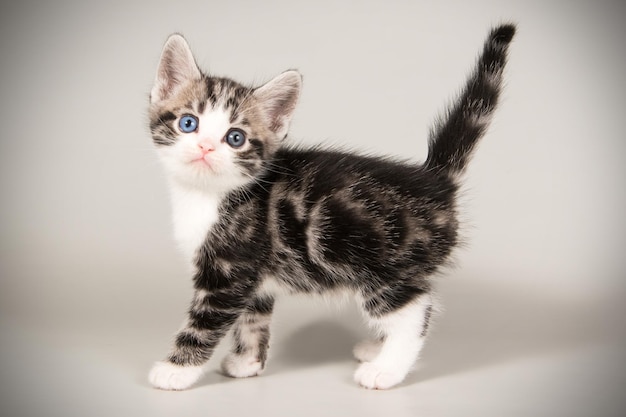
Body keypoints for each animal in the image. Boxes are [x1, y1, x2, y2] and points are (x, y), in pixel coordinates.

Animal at [149, 23, 516, 390]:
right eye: (188, 123)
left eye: (235, 138)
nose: (206, 147)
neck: (206, 194)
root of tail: (434, 181)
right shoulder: (255, 276)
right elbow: (253, 318)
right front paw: (247, 362)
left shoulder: (229, 271)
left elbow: (203, 324)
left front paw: (176, 370)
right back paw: (376, 349)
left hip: (382, 267)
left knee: (415, 312)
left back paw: (386, 369)